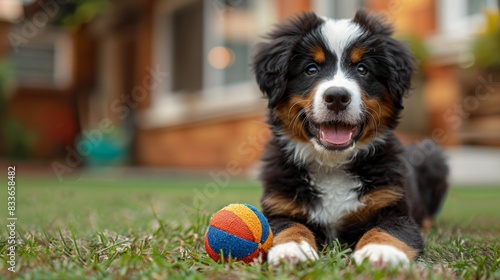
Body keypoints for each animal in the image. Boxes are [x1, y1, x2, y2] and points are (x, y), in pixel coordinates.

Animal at [252, 9, 448, 266]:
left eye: (362, 69)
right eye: (311, 69)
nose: (337, 97)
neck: (332, 166)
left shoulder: (394, 207)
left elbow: (387, 230)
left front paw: (379, 252)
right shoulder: (279, 206)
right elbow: (288, 227)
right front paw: (292, 249)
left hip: (433, 157)